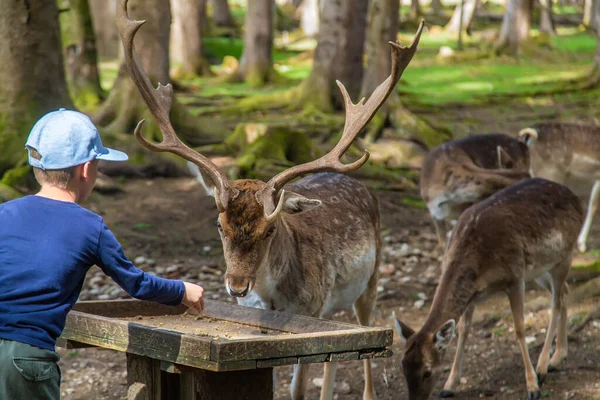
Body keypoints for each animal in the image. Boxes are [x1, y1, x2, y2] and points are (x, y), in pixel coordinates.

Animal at [117, 1, 424, 398]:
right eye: (219, 225)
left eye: (270, 230)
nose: (236, 286)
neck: (274, 297)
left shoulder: (309, 312)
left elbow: (297, 388)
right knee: (338, 355)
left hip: (371, 279)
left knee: (364, 344)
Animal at [394, 179, 580, 400]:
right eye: (402, 367)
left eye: (427, 371)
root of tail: (575, 197)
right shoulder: (472, 295)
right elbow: (463, 330)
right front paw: (449, 386)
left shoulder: (515, 277)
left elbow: (519, 328)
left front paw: (532, 386)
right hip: (540, 268)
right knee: (565, 292)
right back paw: (559, 357)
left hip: (564, 255)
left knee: (557, 302)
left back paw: (543, 367)